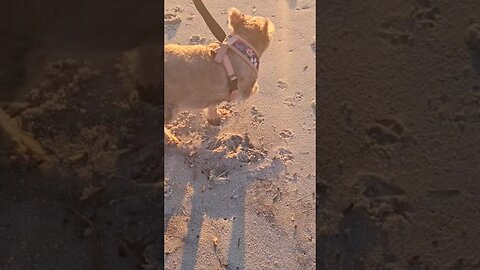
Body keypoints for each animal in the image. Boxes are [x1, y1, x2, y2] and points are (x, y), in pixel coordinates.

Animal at [127, 7, 274, 141]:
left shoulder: (214, 96)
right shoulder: (243, 89)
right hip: (169, 107)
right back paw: (170, 138)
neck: (241, 49)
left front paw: (214, 118)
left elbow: (212, 107)